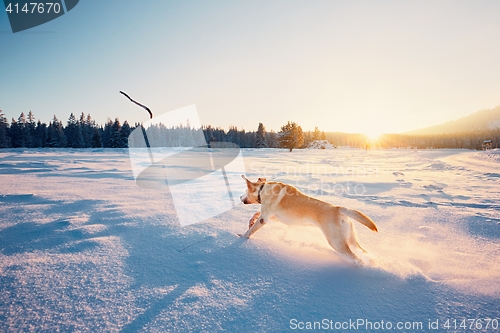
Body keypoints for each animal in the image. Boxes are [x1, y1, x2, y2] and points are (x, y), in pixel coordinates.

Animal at [237, 175, 376, 264]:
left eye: (245, 190)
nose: (239, 197)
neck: (262, 190)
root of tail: (338, 209)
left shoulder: (264, 219)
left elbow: (250, 231)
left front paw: (242, 236)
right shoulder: (271, 216)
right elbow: (255, 214)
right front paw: (250, 221)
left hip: (337, 243)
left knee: (356, 259)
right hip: (351, 239)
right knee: (363, 252)